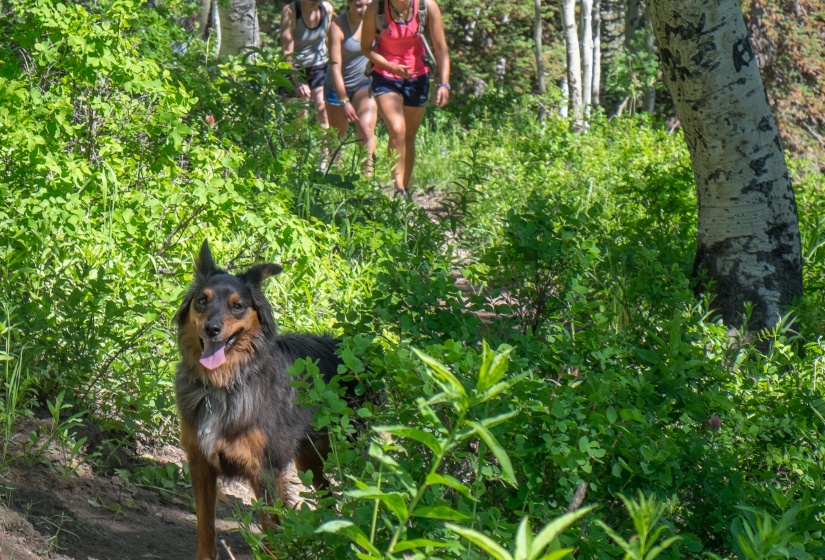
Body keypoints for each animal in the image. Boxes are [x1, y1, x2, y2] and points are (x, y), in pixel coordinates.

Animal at [174, 241, 342, 560]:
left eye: (238, 306)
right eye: (202, 300)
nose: (211, 329)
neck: (223, 385)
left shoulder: (266, 470)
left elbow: (272, 536)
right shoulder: (201, 464)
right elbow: (205, 527)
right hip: (309, 460)